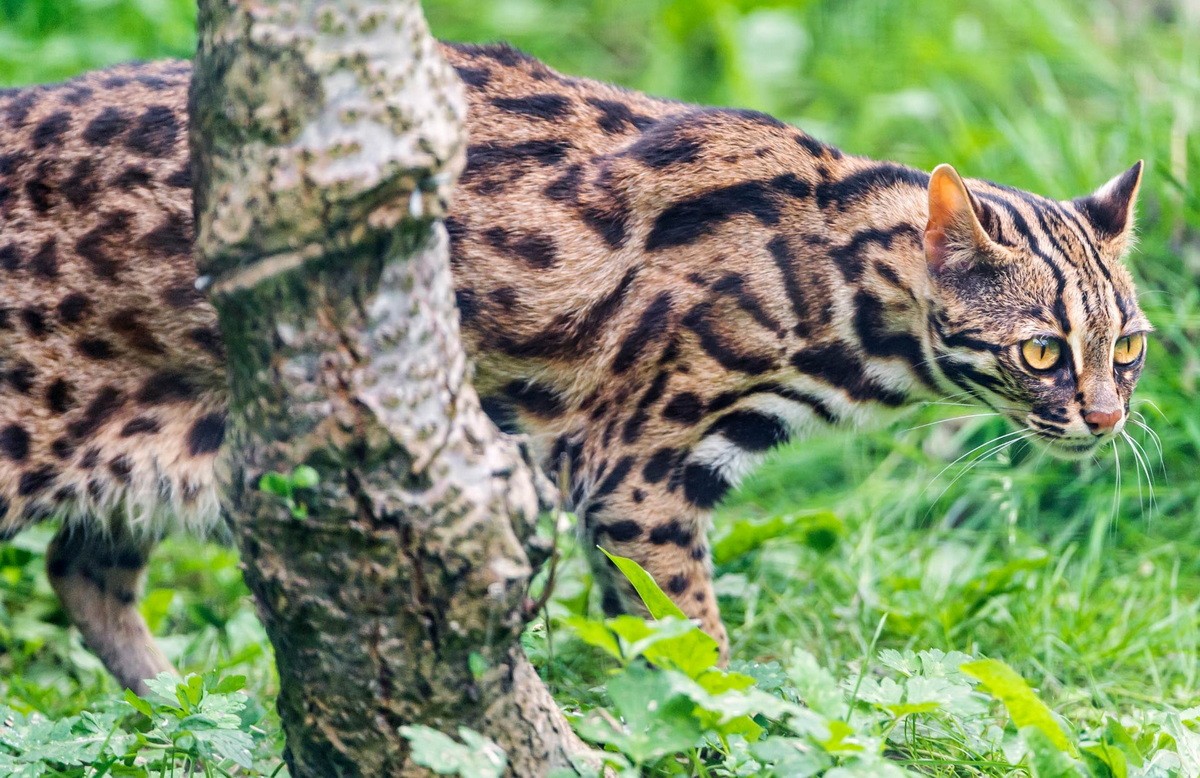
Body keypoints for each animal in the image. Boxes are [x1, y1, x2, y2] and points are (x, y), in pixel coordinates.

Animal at [0, 42, 1147, 691]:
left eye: (1128, 350)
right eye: (1042, 349)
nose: (1103, 420)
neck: (838, 279)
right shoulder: (638, 472)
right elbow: (690, 638)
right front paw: (721, 722)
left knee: (82, 570)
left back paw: (178, 705)